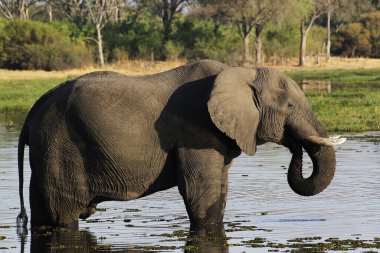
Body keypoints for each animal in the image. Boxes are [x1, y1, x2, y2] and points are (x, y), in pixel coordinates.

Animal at [16, 60, 346, 230]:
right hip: (62, 145)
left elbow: (219, 190)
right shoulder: (195, 130)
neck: (241, 71)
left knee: (43, 212)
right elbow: (201, 192)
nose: (293, 144)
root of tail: (34, 108)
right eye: (290, 105)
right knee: (65, 211)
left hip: (48, 147)